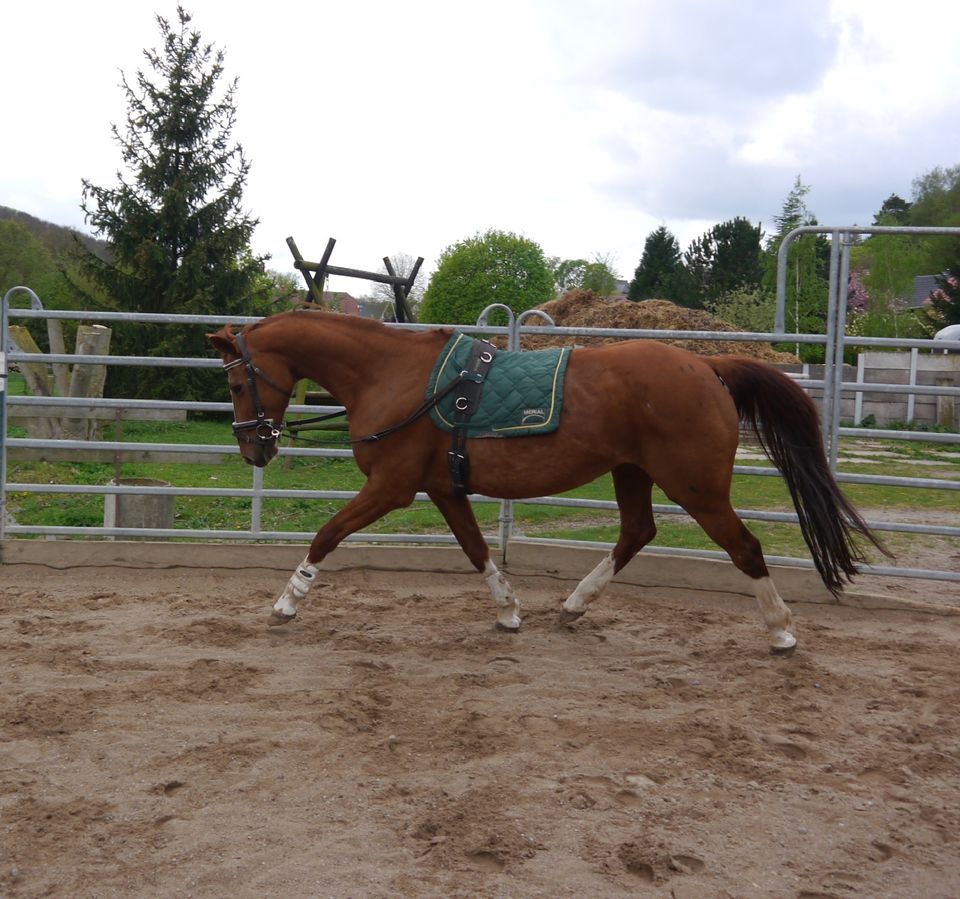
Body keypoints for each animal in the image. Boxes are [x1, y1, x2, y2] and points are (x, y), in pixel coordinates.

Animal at [206, 310, 880, 652]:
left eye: (237, 382)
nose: (253, 446)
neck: (393, 376)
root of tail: (706, 366)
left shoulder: (391, 489)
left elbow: (327, 534)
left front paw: (286, 603)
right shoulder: (444, 490)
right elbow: (477, 550)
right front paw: (508, 612)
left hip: (698, 488)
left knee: (745, 548)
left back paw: (782, 631)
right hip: (632, 474)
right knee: (637, 533)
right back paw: (575, 606)